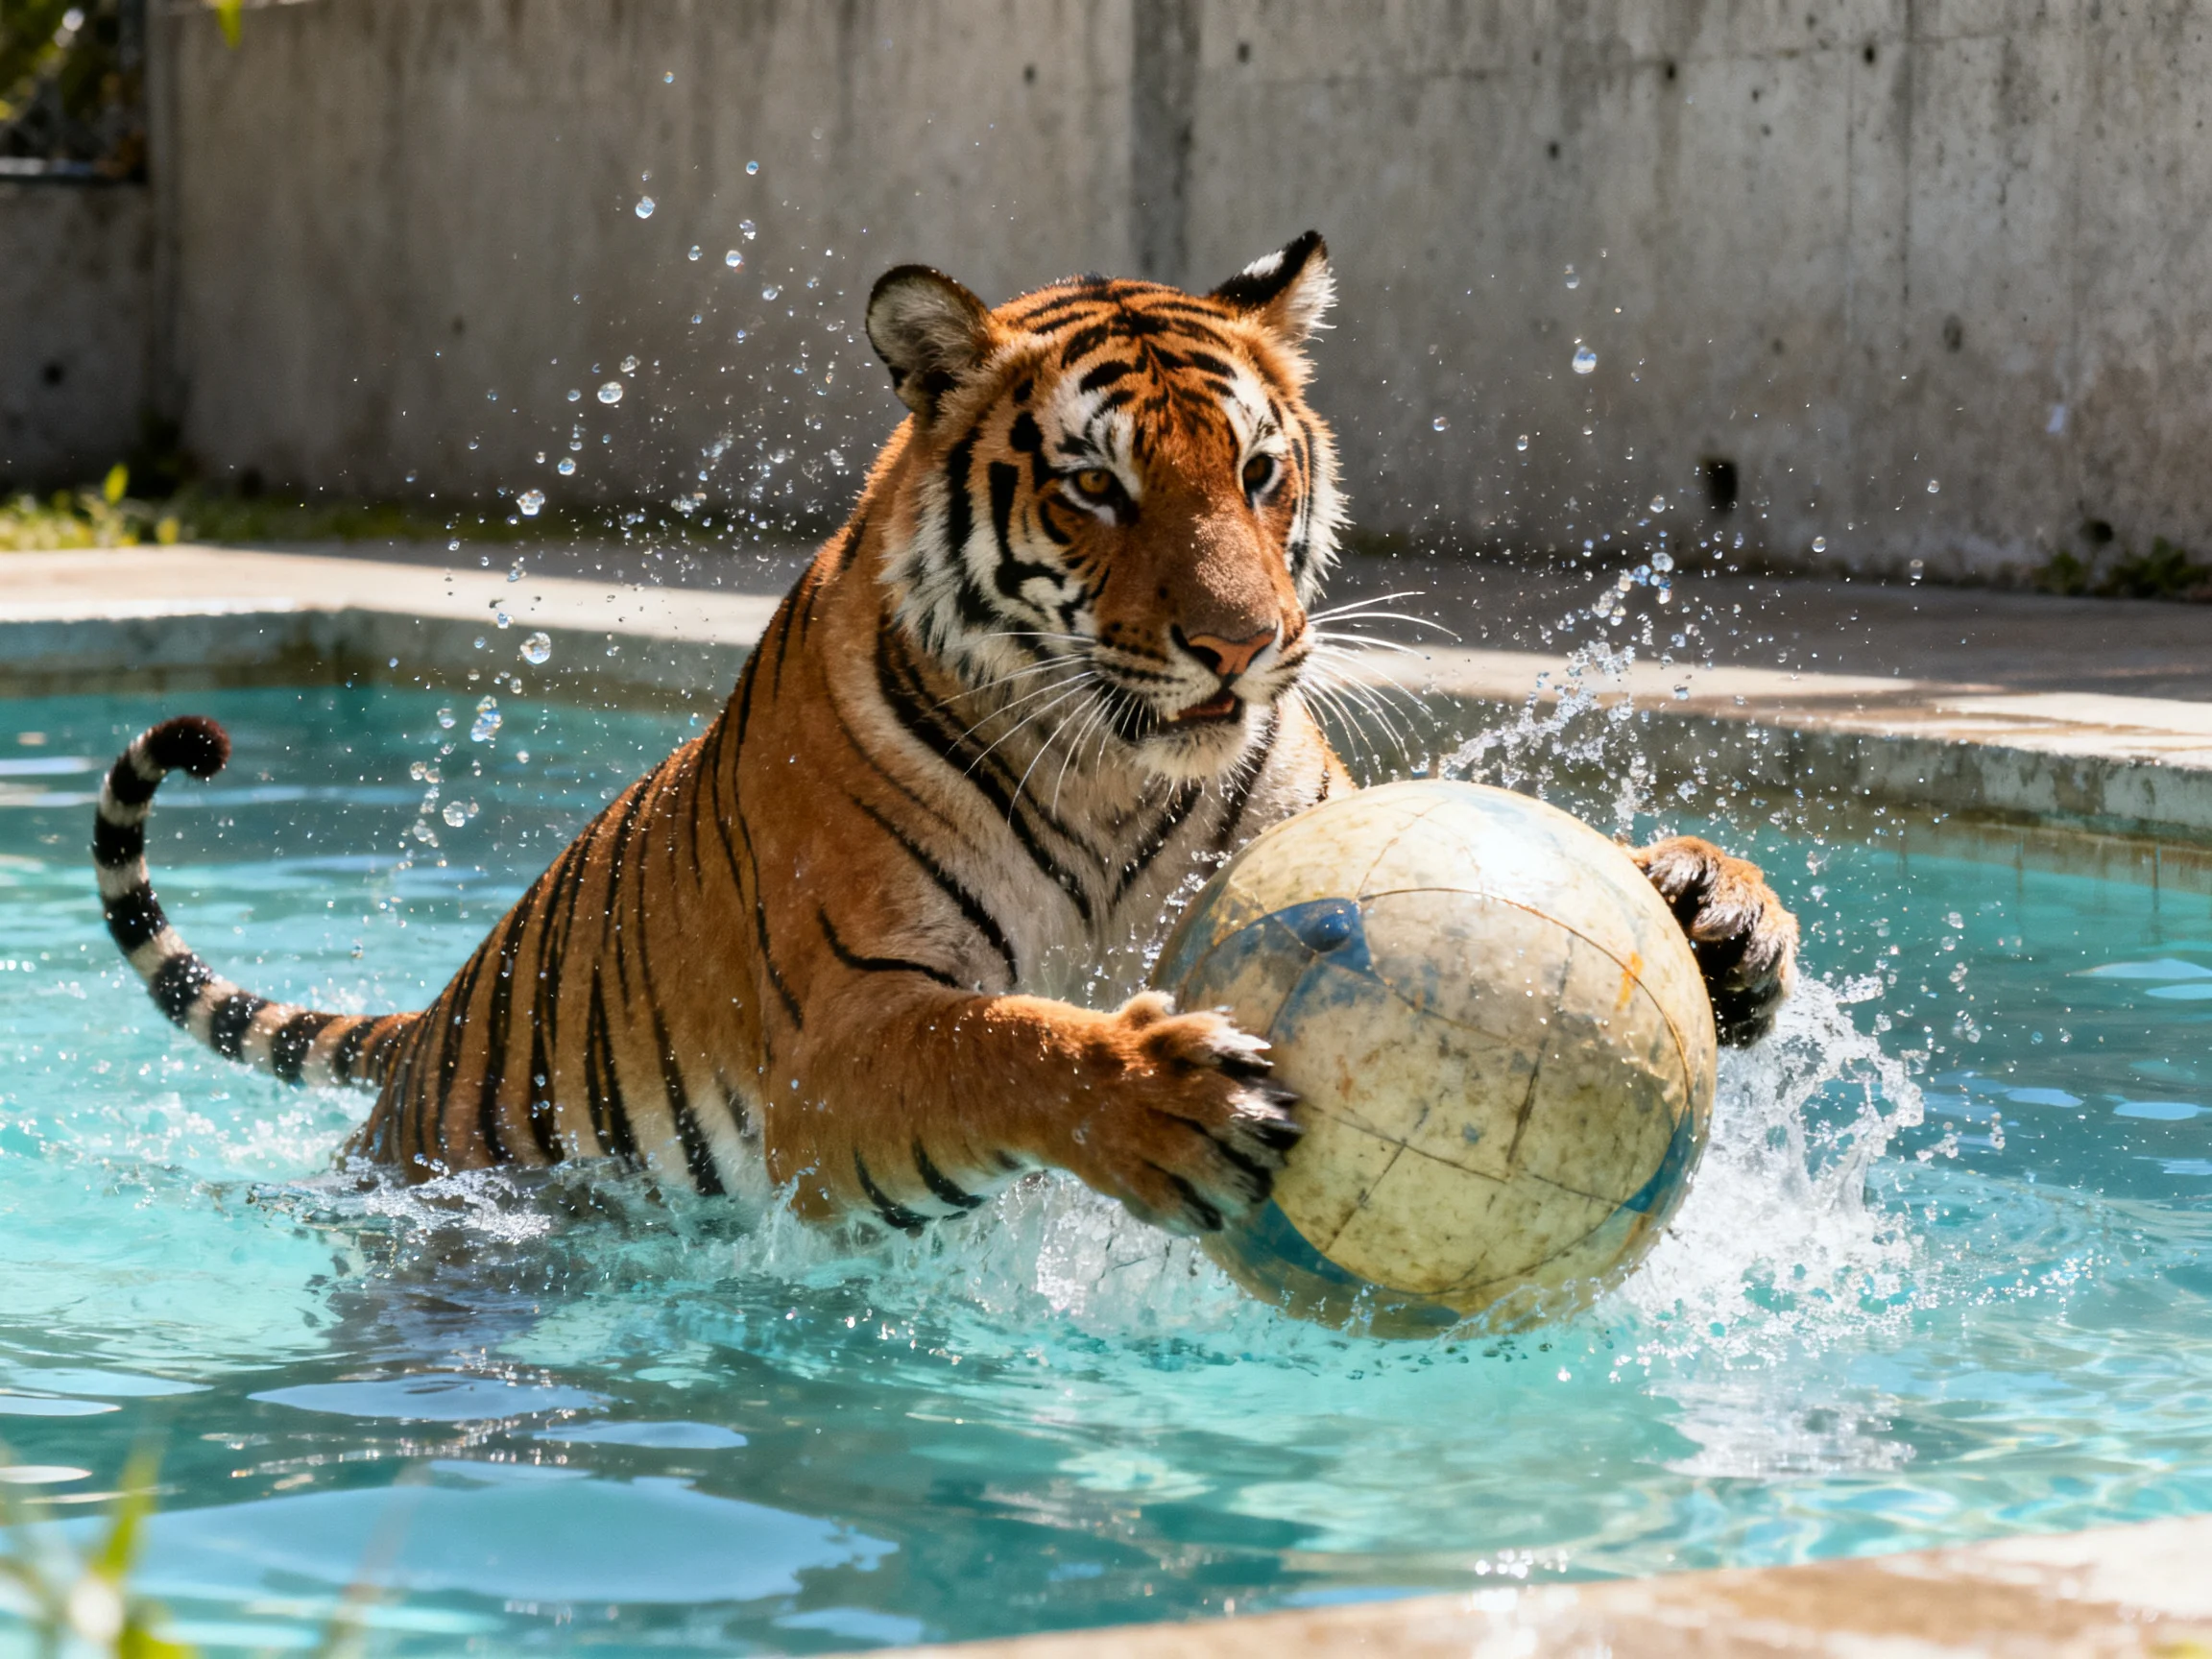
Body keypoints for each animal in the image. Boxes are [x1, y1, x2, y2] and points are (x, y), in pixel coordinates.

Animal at [91, 231, 1799, 1236]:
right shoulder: (839, 1044)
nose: (1246, 647)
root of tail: (434, 1017)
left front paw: (1714, 909)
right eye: (1097, 484)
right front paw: (1156, 1092)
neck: (1116, 775)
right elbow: (993, 1045)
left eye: (1258, 472)